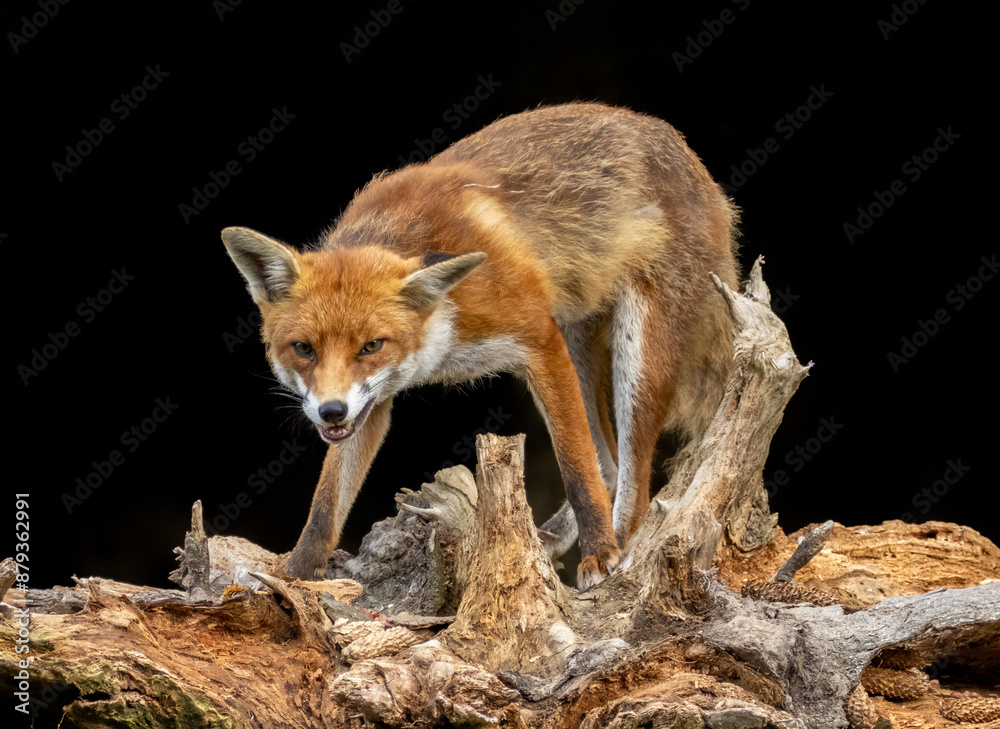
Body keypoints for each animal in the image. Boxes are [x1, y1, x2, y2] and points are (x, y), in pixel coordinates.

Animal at [221, 102, 739, 589]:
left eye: (371, 345)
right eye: (303, 348)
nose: (331, 412)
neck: (443, 334)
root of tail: (680, 147)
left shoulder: (539, 340)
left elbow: (576, 469)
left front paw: (599, 553)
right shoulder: (374, 401)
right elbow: (326, 504)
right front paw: (296, 576)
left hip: (633, 355)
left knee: (632, 478)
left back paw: (614, 547)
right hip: (577, 342)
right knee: (608, 464)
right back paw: (550, 537)